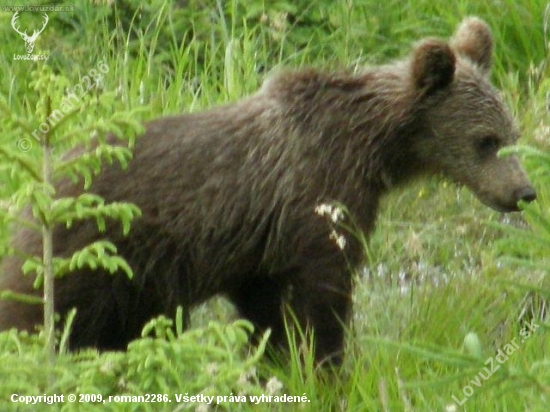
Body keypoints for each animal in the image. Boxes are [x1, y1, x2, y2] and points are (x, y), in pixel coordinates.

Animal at [0, 16, 536, 364]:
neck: (374, 148)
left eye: (511, 134)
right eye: (486, 140)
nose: (525, 191)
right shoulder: (317, 200)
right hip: (91, 255)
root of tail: (34, 194)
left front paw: (277, 363)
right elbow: (320, 298)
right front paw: (325, 367)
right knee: (34, 316)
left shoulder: (262, 249)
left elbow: (269, 313)